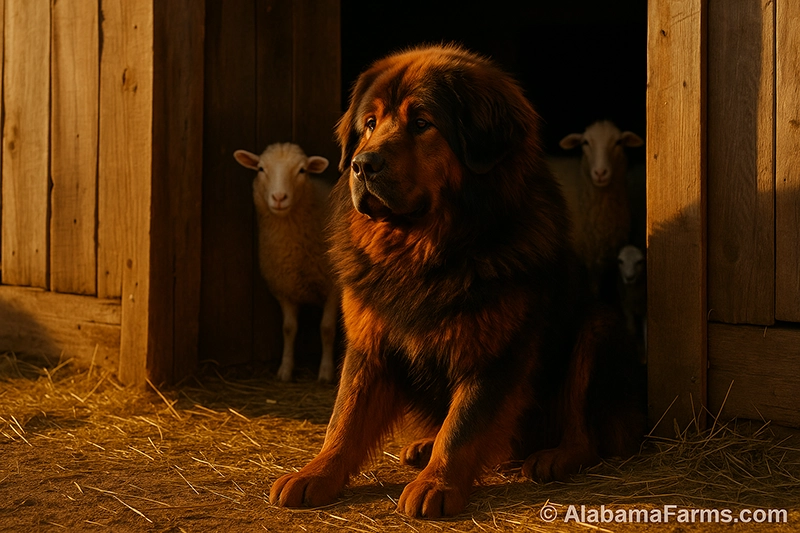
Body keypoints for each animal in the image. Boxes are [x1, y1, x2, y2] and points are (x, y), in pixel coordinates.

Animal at [233, 143, 338, 383]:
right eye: (261, 169)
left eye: (302, 170)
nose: (279, 197)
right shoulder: (285, 288)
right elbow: (289, 328)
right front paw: (285, 370)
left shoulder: (334, 288)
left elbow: (327, 328)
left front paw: (325, 373)